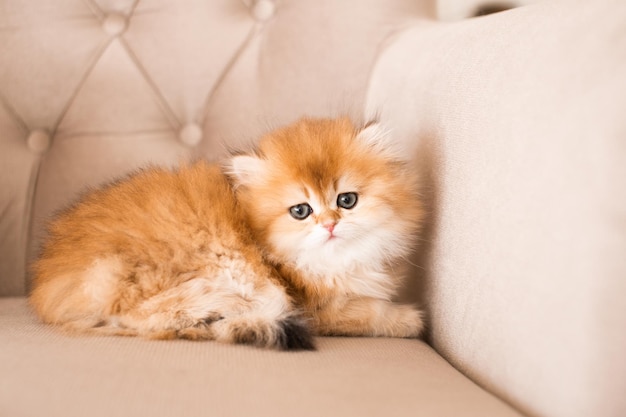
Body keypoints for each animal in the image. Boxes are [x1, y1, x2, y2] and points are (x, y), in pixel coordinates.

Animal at [33, 116, 424, 348]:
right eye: (301, 211)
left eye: (347, 200)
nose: (330, 223)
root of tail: (50, 279)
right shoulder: (316, 306)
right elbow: (369, 312)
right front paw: (409, 319)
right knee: (139, 313)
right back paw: (223, 308)